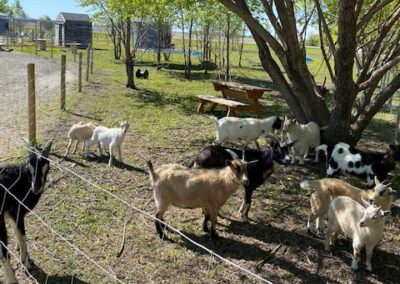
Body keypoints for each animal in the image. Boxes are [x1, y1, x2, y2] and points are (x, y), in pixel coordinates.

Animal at [0, 140, 52, 284]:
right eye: (29, 167)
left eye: (48, 168)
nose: (36, 187)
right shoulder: (17, 211)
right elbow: (23, 236)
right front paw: (26, 263)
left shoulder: (11, 214)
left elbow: (17, 232)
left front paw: (18, 248)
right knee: (3, 253)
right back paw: (13, 280)